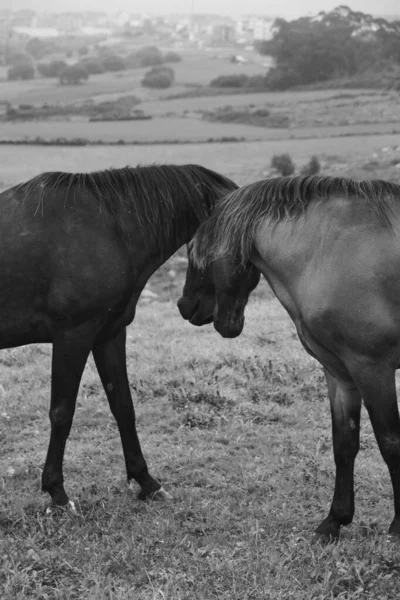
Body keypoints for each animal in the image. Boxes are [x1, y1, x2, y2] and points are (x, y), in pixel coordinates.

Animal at [0, 164, 236, 510]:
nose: (189, 305)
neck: (110, 228)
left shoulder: (108, 334)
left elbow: (123, 406)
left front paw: (146, 482)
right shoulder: (73, 336)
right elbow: (62, 412)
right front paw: (57, 493)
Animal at [179, 176, 400, 540]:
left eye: (195, 250)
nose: (185, 306)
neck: (329, 252)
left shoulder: (372, 369)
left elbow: (390, 442)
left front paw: (397, 526)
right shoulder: (340, 373)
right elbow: (344, 444)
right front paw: (335, 520)